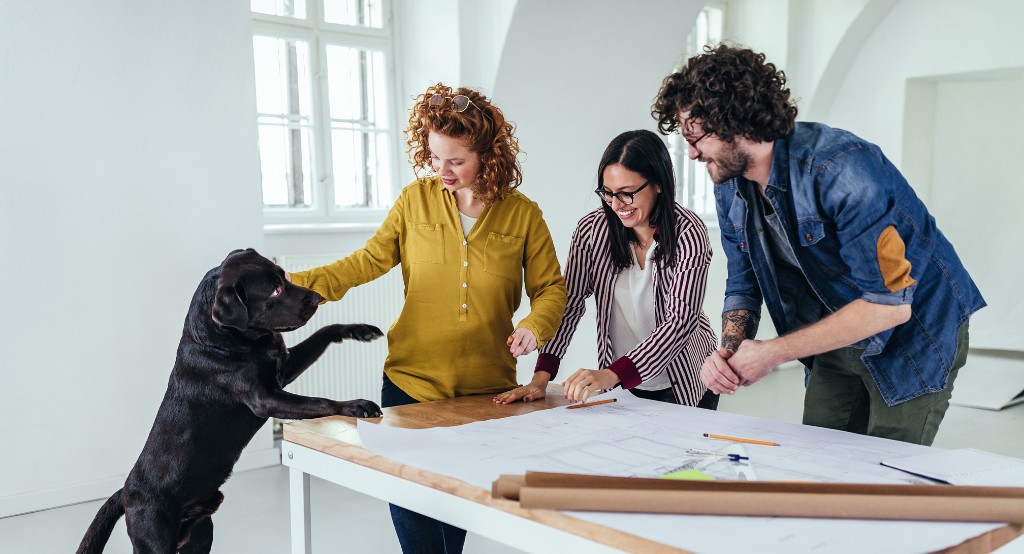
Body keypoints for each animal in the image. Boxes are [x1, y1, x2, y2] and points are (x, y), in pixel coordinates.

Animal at [78, 248, 385, 548]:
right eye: (274, 290)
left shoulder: (284, 369)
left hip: (201, 535)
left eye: (284, 276)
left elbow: (323, 332)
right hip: (155, 539)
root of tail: (126, 492)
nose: (317, 297)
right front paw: (356, 405)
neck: (224, 339)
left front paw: (358, 329)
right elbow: (318, 401)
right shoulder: (266, 399)